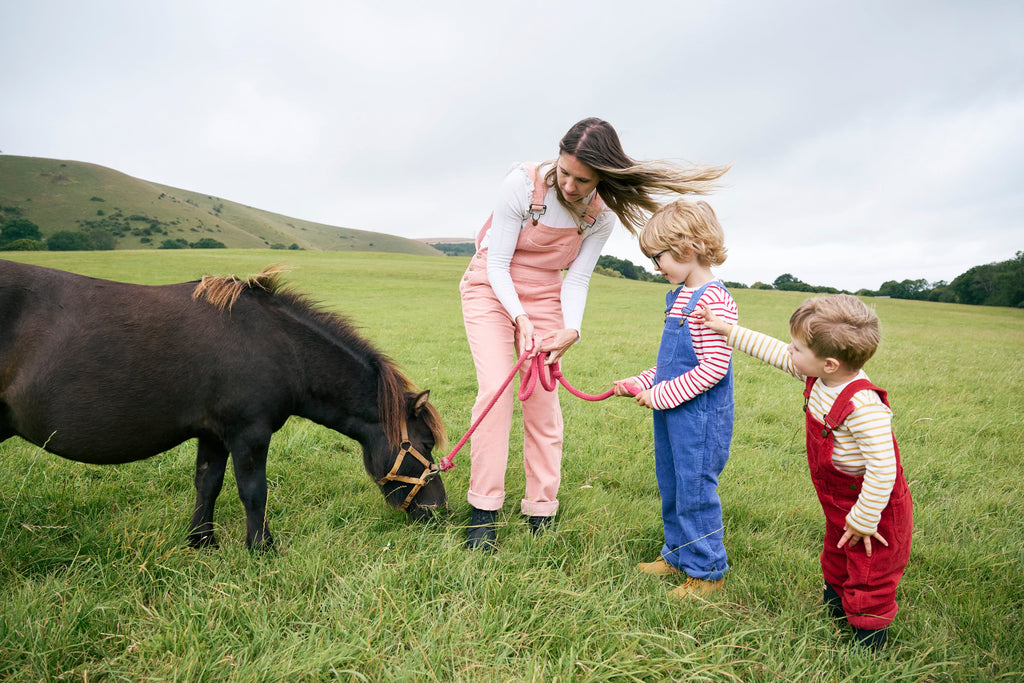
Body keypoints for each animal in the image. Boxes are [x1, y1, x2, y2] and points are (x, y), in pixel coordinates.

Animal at [1, 259, 448, 552]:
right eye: (424, 445)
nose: (439, 510)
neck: (276, 344)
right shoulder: (248, 434)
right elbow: (253, 491)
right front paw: (261, 548)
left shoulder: (213, 434)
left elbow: (207, 484)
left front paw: (202, 542)